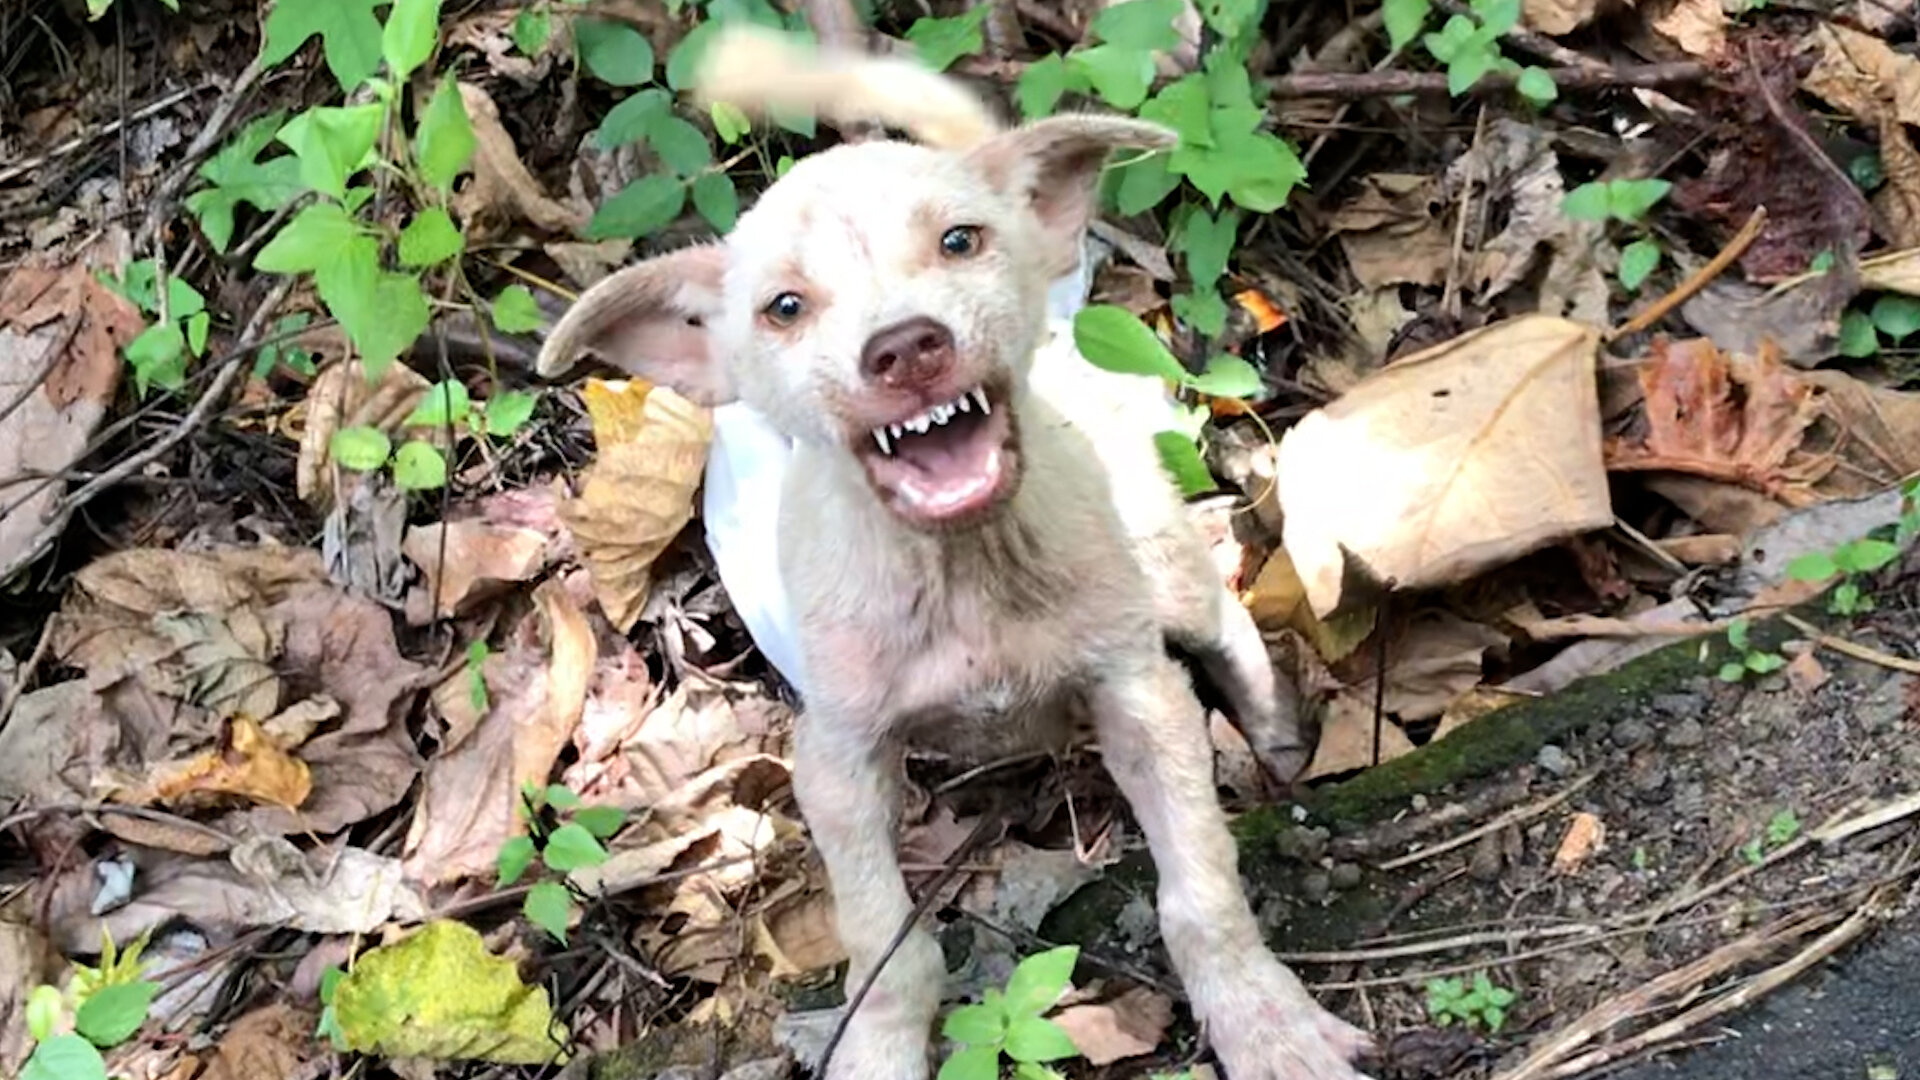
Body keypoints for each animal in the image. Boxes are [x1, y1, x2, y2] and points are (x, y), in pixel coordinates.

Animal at [535, 26, 1374, 1080]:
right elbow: (885, 947)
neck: (963, 569)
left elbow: (1203, 888)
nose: (906, 348)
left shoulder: (1138, 695)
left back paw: (1274, 728)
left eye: (960, 242)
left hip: (1156, 553)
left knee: (1223, 612)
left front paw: (1267, 1025)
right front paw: (877, 1054)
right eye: (783, 308)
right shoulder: (838, 759)